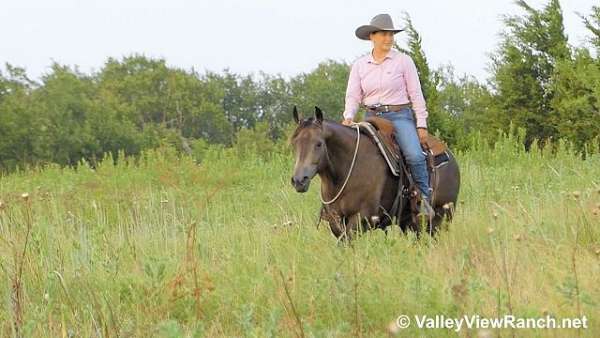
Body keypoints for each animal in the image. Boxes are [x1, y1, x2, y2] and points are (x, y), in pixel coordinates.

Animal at [288, 105, 462, 240]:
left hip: (441, 217)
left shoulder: (362, 218)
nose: (299, 180)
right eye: (295, 143)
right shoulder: (335, 220)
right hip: (409, 222)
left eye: (318, 144)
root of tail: (451, 158)